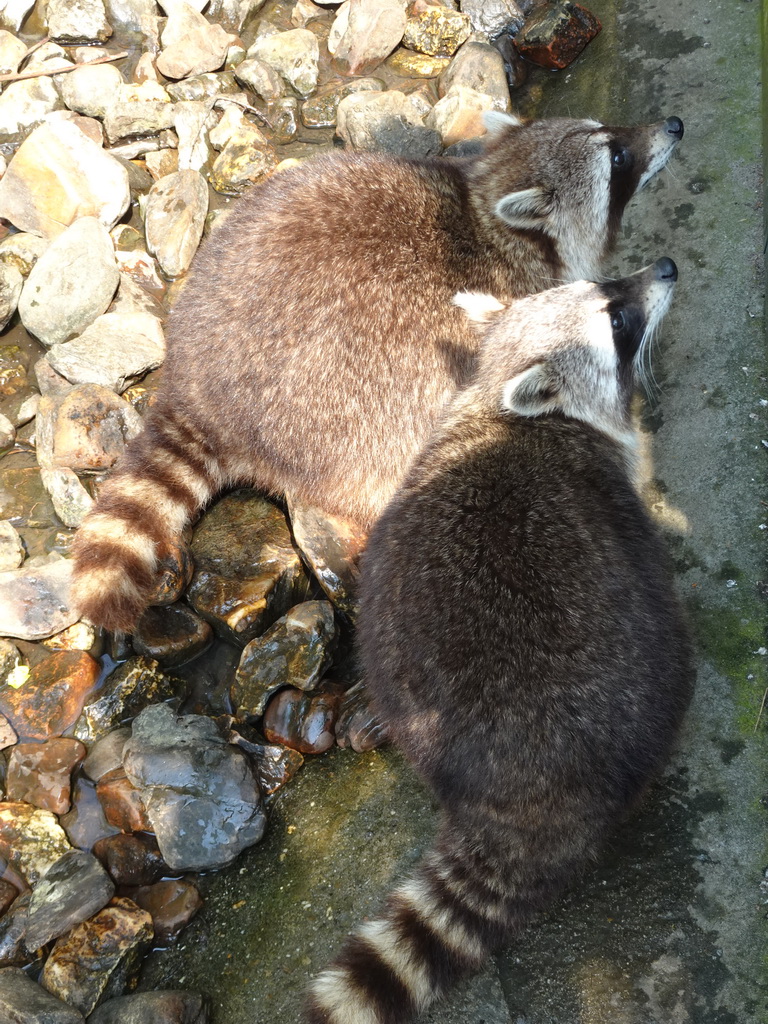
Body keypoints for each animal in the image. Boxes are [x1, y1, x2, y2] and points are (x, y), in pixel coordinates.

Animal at [70, 110, 684, 630]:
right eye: (617, 159)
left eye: (612, 132)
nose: (674, 126)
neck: (487, 212)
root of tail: (196, 389)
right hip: (347, 405)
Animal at [307, 260, 696, 1024]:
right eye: (617, 319)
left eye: (610, 286)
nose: (665, 269)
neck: (500, 401)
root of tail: (516, 805)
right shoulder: (611, 488)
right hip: (641, 683)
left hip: (397, 661)